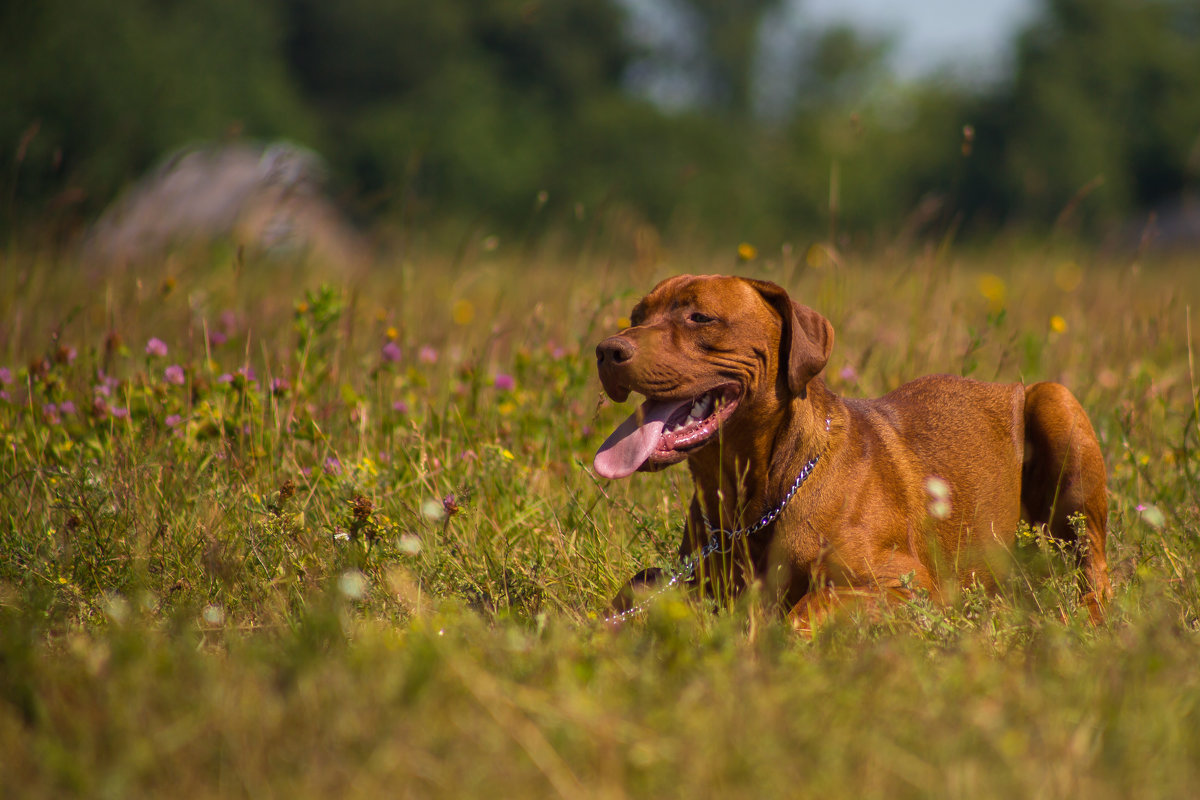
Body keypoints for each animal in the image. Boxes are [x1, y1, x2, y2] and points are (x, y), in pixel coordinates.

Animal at [595, 278, 1108, 628]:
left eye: (700, 317)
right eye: (637, 315)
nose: (606, 349)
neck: (761, 494)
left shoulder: (904, 583)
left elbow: (807, 608)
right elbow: (637, 586)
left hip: (1058, 407)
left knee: (1094, 570)